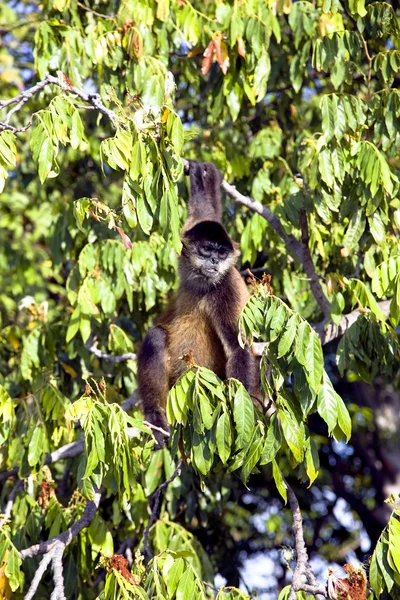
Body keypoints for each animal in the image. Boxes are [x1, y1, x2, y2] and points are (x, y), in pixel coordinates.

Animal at [138, 159, 256, 446]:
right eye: (207, 250)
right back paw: (155, 416)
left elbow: (238, 349)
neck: (202, 284)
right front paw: (204, 176)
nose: (214, 261)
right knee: (156, 336)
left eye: (221, 253)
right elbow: (206, 213)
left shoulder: (225, 286)